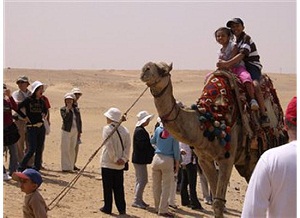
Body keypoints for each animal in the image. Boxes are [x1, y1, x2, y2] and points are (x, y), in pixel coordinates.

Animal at [141, 61, 286, 218]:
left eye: (163, 70)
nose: (144, 70)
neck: (208, 120)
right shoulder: (204, 160)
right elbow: (216, 199)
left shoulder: (227, 158)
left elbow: (218, 202)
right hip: (247, 161)